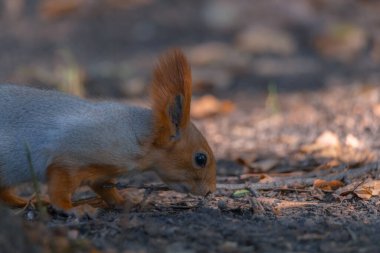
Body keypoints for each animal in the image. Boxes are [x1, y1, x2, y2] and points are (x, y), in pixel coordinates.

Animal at [0, 49, 215, 211]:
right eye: (200, 159)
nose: (210, 191)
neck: (135, 137)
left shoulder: (101, 172)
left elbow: (105, 189)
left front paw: (125, 201)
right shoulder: (68, 157)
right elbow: (59, 191)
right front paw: (74, 209)